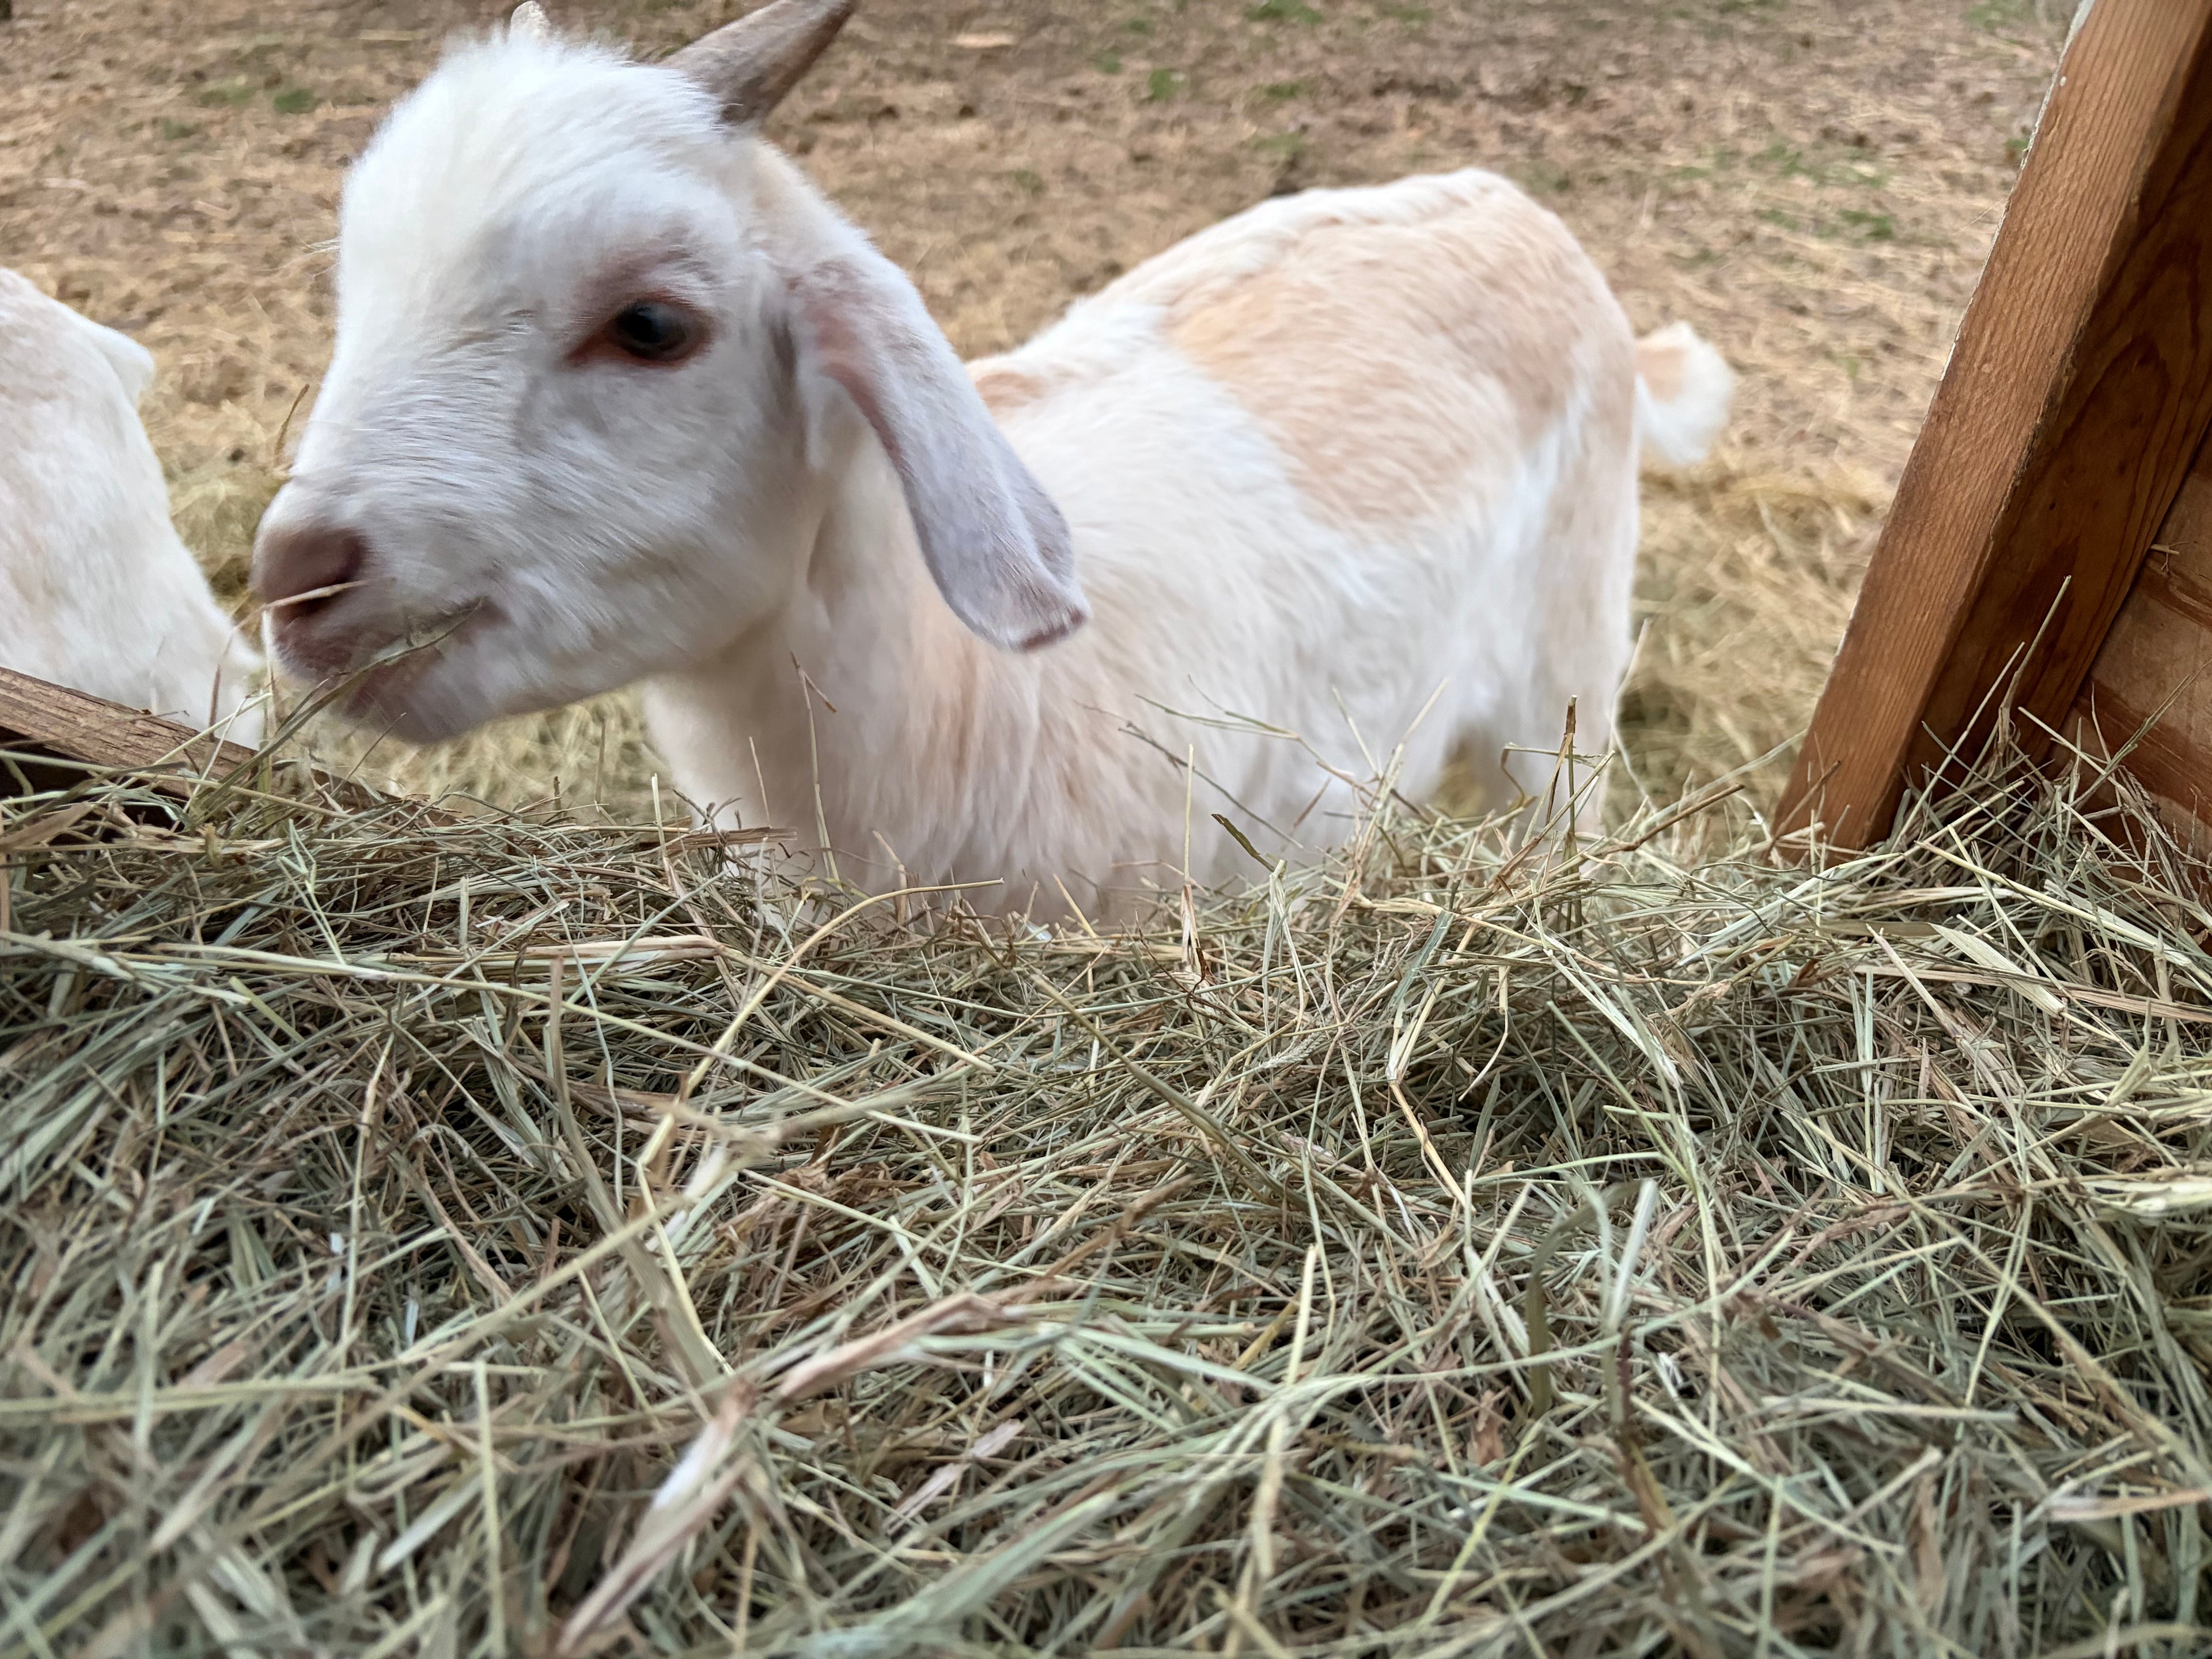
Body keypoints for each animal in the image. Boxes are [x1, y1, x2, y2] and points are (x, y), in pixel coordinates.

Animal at [253, 0, 1731, 914]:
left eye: (653, 326)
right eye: (354, 286)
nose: (296, 575)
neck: (965, 706)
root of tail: (1512, 206)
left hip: (1565, 679)